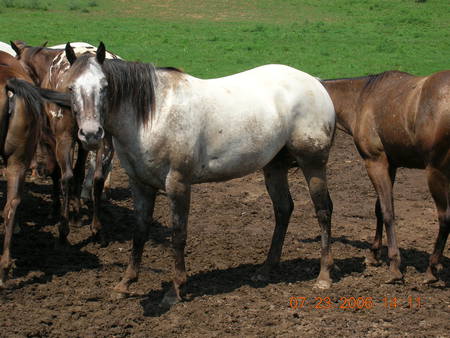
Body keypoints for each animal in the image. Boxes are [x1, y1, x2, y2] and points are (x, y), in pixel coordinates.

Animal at [10, 41, 119, 244]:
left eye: (19, 62)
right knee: (96, 176)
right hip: (99, 138)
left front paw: (60, 217)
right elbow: (76, 172)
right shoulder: (85, 139)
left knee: (73, 175)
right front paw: (75, 215)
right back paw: (93, 224)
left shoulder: (52, 139)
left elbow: (58, 173)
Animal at [64, 42, 338, 304]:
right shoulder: (140, 184)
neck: (153, 115)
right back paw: (265, 270)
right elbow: (139, 231)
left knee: (323, 210)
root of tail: (316, 83)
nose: (91, 134)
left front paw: (175, 290)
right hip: (274, 167)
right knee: (283, 210)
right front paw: (125, 284)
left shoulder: (178, 184)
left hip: (312, 163)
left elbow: (178, 234)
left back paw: (324, 276)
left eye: (104, 86)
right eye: (70, 88)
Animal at [322, 70, 450, 284]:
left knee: (444, 218)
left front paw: (394, 265)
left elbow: (388, 211)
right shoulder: (390, 165)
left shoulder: (375, 162)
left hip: (436, 174)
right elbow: (379, 209)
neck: (361, 98)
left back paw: (431, 268)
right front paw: (374, 253)